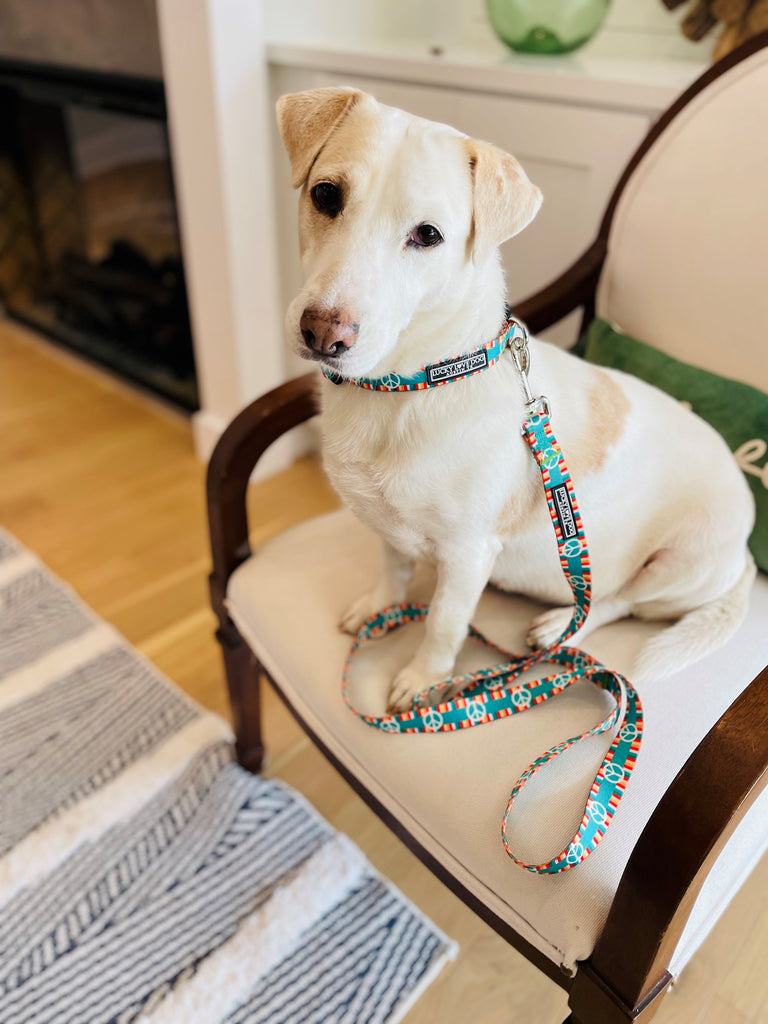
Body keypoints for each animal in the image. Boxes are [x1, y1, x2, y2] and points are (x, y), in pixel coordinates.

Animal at [276, 88, 757, 712]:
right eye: (326, 195)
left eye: (427, 235)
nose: (322, 333)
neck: (413, 384)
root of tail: (747, 551)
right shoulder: (387, 526)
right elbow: (396, 569)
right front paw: (379, 605)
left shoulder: (468, 555)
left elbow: (443, 622)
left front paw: (423, 680)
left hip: (677, 567)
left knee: (617, 604)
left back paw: (557, 626)